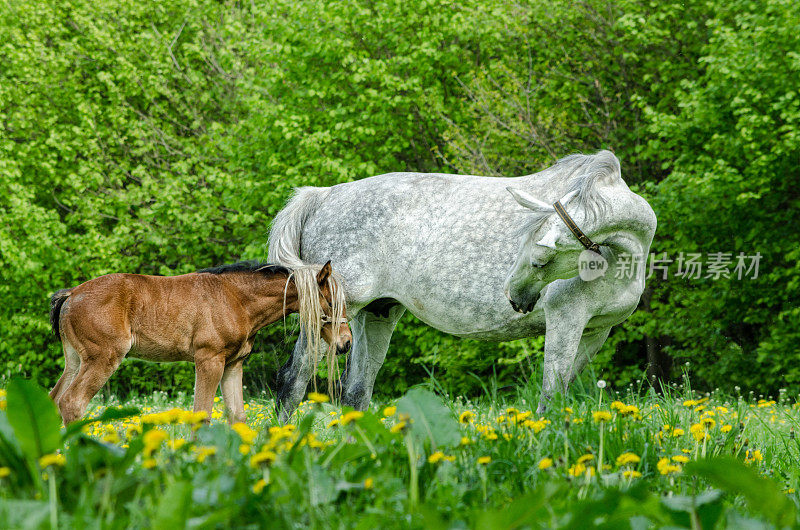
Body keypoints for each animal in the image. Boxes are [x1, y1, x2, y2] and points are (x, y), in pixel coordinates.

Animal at [47, 260, 350, 424]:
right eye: (332, 302)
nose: (346, 343)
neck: (237, 299)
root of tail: (71, 294)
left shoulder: (233, 364)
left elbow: (237, 416)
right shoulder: (209, 360)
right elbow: (202, 414)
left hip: (75, 360)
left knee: (55, 400)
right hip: (103, 357)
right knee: (72, 403)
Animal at [268, 150, 656, 416]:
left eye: (539, 259)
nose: (514, 297)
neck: (621, 256)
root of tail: (322, 196)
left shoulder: (595, 331)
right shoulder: (566, 319)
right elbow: (550, 395)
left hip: (375, 313)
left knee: (356, 394)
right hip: (328, 316)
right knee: (293, 380)